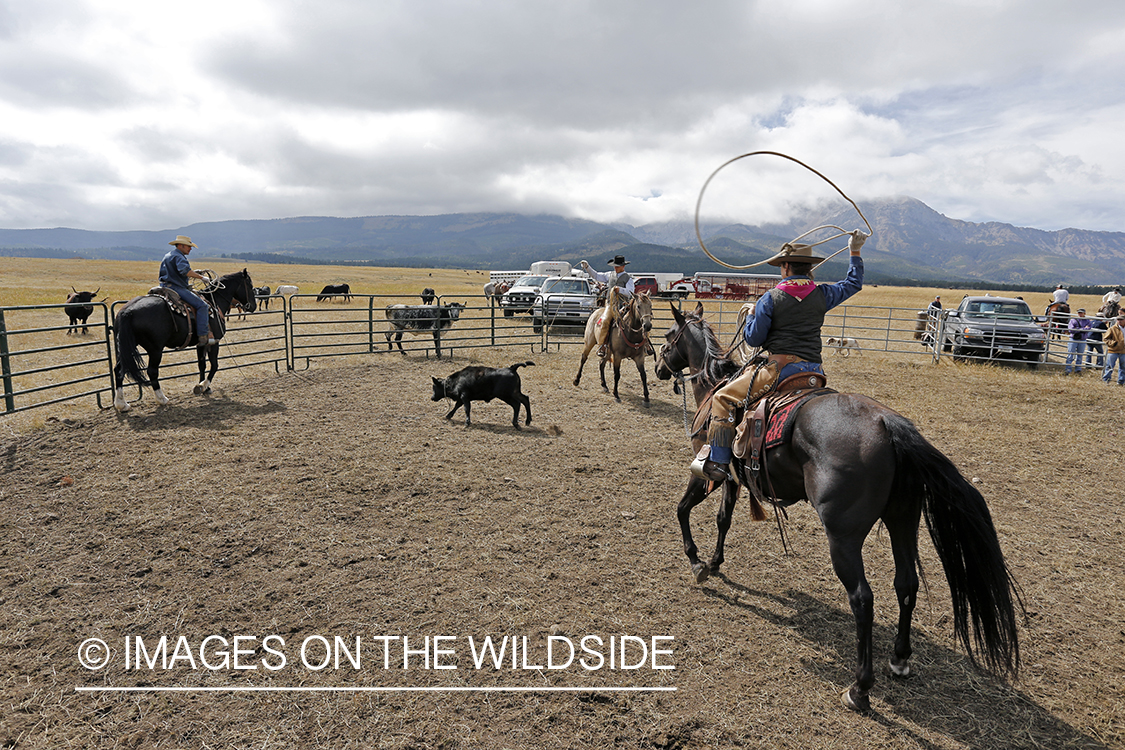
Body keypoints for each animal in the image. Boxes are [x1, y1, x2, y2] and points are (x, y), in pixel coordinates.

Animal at [111, 268, 257, 411]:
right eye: (250, 285)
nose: (253, 306)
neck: (214, 303)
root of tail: (127, 311)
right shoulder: (214, 342)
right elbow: (215, 365)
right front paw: (202, 386)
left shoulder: (201, 344)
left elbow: (202, 365)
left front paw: (204, 388)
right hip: (155, 349)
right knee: (152, 371)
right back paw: (162, 399)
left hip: (127, 346)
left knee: (119, 370)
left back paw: (121, 404)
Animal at [652, 303, 1021, 710]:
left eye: (667, 336)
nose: (658, 366)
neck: (716, 387)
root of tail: (888, 424)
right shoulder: (733, 478)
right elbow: (723, 519)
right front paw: (716, 562)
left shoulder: (708, 472)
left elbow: (683, 509)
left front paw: (697, 562)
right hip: (902, 519)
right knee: (906, 584)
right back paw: (899, 659)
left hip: (843, 536)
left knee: (862, 598)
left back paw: (860, 687)